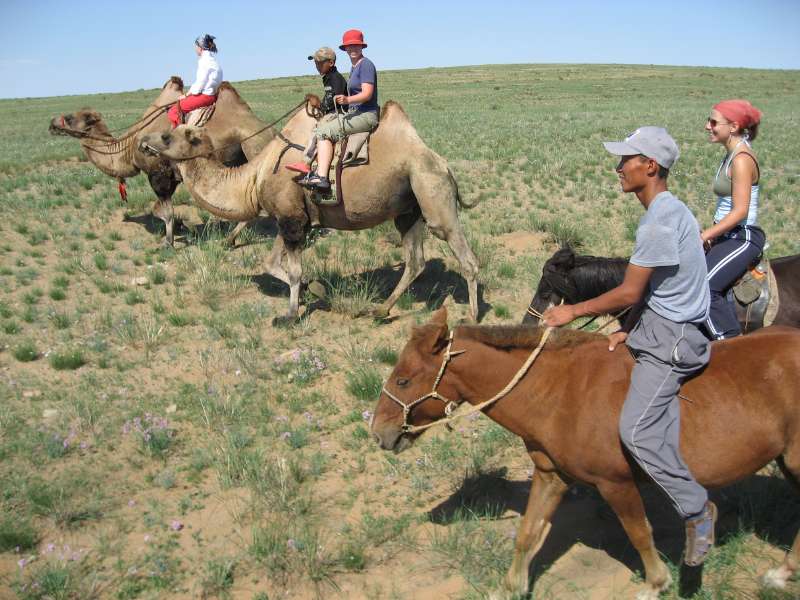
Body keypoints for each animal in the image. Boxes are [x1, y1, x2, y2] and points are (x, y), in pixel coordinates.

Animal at [50, 78, 276, 246]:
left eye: (70, 118)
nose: (52, 123)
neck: (129, 147)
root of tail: (271, 131)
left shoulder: (159, 173)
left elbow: (163, 211)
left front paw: (171, 240)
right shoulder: (172, 176)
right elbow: (164, 210)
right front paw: (185, 227)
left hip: (253, 147)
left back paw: (229, 240)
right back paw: (228, 238)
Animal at [138, 99, 478, 324]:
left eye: (167, 136)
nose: (143, 140)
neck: (254, 176)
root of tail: (443, 164)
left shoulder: (292, 220)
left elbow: (293, 270)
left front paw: (290, 313)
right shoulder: (289, 217)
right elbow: (271, 263)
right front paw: (313, 288)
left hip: (431, 191)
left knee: (466, 258)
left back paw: (472, 318)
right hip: (408, 208)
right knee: (415, 260)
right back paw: (380, 310)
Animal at [372, 310, 800, 600]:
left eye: (404, 380)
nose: (378, 431)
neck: (560, 390)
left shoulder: (616, 483)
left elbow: (639, 533)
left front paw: (656, 582)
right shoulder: (551, 476)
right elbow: (527, 535)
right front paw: (511, 586)